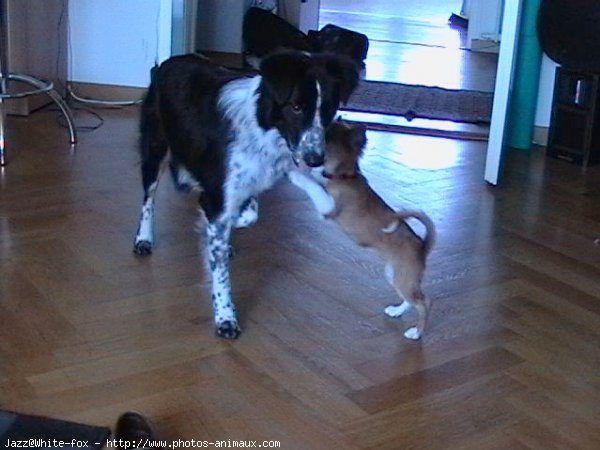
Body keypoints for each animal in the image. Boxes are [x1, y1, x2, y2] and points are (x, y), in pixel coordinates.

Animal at [132, 51, 356, 338]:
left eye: (328, 109)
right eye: (296, 108)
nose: (315, 159)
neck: (263, 129)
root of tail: (167, 62)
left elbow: (249, 213)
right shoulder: (220, 196)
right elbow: (220, 271)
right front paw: (225, 317)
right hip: (155, 148)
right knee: (148, 199)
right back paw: (144, 239)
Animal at [290, 121, 436, 340]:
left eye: (324, 135)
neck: (342, 176)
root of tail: (422, 245)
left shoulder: (327, 208)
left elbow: (312, 185)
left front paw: (294, 173)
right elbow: (314, 180)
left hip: (403, 277)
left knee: (424, 303)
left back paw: (416, 333)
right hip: (396, 275)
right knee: (411, 300)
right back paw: (396, 311)